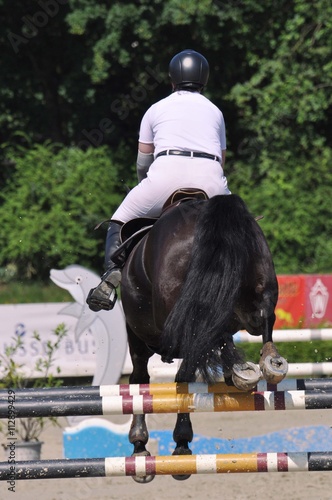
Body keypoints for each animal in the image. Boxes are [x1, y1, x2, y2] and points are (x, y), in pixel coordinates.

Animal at [119, 191, 288, 480]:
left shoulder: (139, 336)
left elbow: (142, 382)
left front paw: (140, 445)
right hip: (260, 276)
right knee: (261, 317)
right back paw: (265, 363)